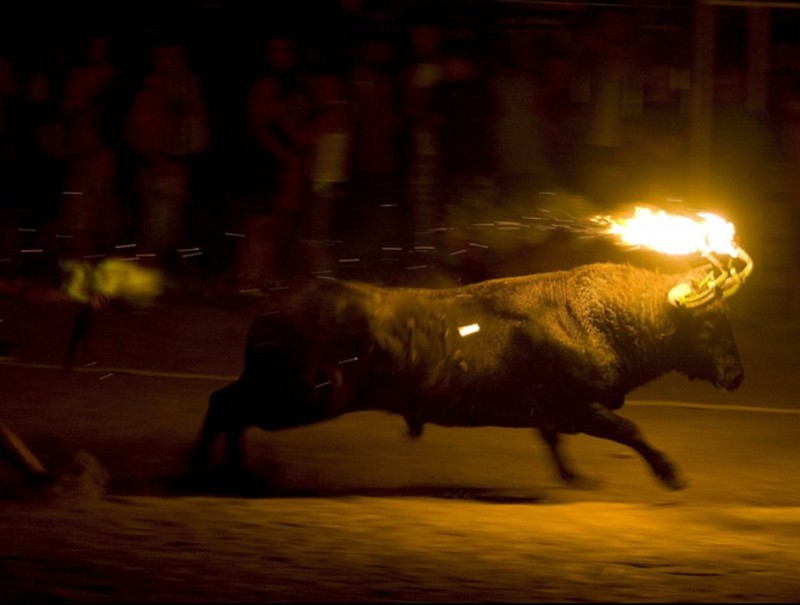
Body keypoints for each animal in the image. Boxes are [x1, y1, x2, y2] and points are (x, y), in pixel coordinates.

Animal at [188, 262, 744, 488]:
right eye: (711, 324)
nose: (738, 375)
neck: (601, 316)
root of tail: (271, 314)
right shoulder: (580, 406)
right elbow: (631, 431)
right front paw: (670, 475)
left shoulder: (556, 413)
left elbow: (554, 439)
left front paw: (574, 477)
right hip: (300, 396)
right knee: (226, 406)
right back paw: (213, 471)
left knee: (226, 406)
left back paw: (229, 472)